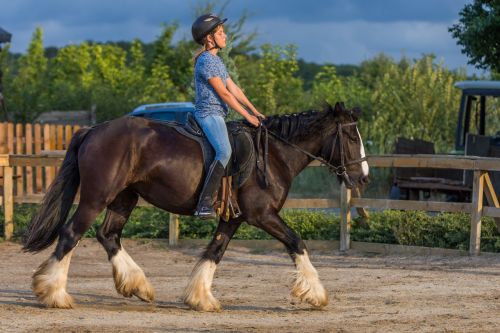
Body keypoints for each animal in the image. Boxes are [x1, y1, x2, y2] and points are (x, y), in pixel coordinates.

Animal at [22, 102, 368, 312]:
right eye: (352, 137)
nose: (362, 176)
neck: (274, 156)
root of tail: (92, 130)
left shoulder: (233, 219)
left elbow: (214, 252)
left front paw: (200, 298)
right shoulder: (263, 215)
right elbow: (297, 242)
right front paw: (316, 293)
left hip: (124, 198)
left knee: (108, 236)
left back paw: (139, 285)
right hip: (97, 197)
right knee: (71, 234)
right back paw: (54, 294)